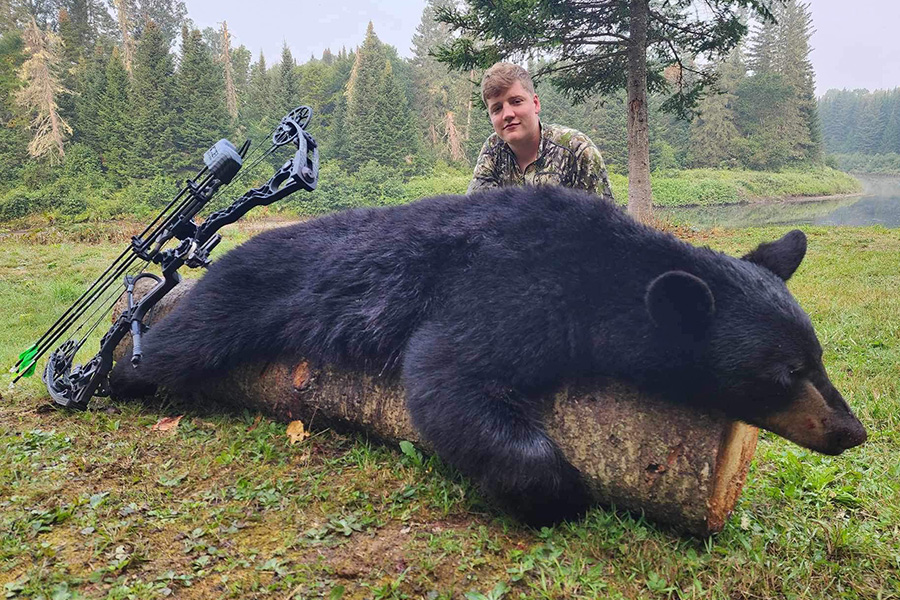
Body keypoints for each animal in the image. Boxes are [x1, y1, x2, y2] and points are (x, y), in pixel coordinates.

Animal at [111, 185, 867, 526]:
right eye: (784, 373)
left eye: (818, 358)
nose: (851, 430)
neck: (605, 277)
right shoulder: (512, 288)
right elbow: (443, 371)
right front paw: (558, 492)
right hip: (246, 294)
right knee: (176, 346)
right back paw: (112, 372)